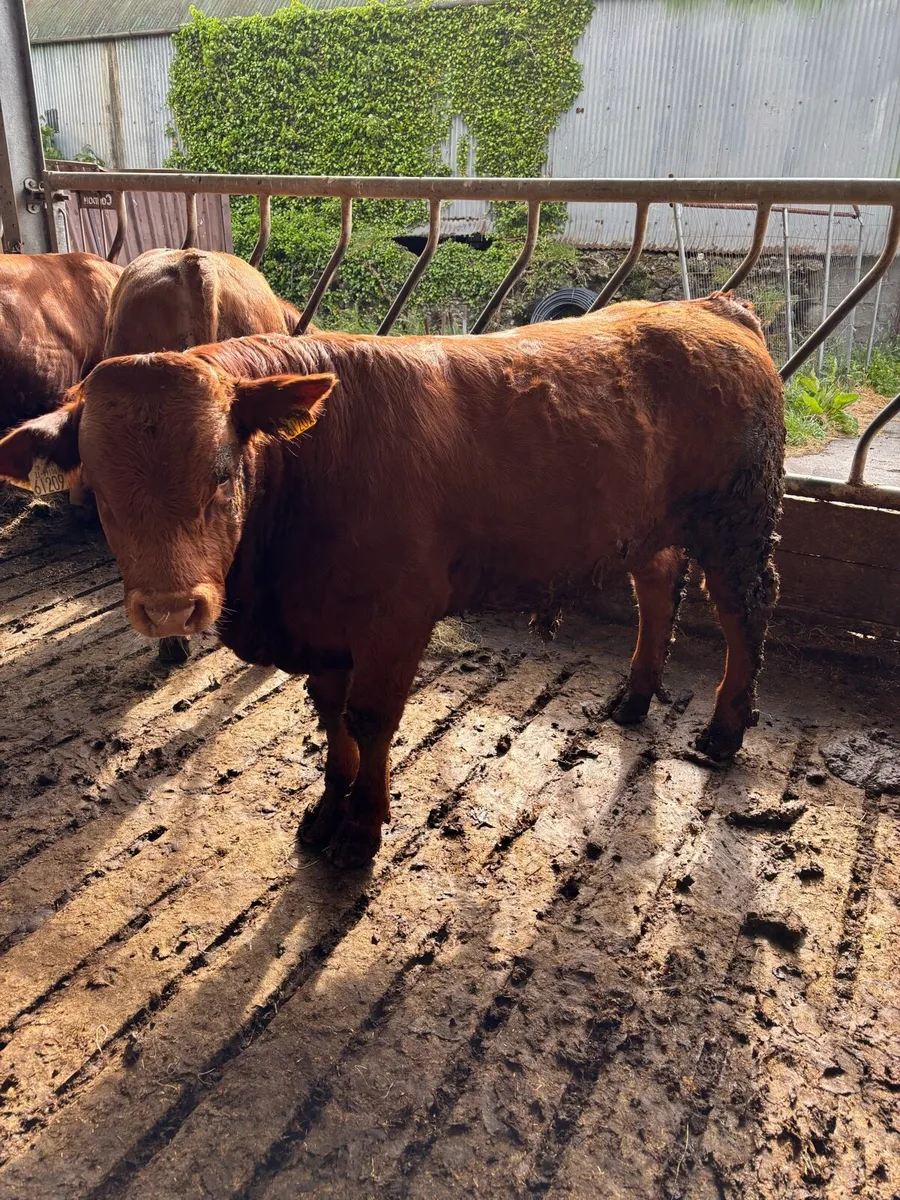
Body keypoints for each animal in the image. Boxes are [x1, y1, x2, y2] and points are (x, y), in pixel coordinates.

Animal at [0, 294, 785, 867]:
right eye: (98, 491)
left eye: (222, 474)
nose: (170, 608)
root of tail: (710, 305)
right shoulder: (324, 627)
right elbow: (331, 716)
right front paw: (328, 808)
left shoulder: (396, 616)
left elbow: (371, 719)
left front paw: (361, 828)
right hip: (653, 522)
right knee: (657, 586)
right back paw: (635, 695)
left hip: (739, 517)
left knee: (745, 611)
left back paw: (723, 729)